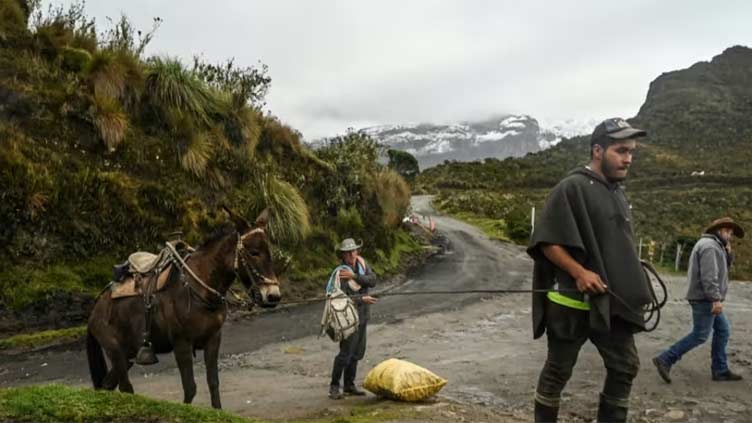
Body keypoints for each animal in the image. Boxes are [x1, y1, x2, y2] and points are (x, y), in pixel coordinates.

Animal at [85, 207, 280, 410]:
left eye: (270, 253)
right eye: (254, 252)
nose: (273, 295)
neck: (199, 288)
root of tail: (95, 309)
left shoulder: (213, 339)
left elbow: (213, 383)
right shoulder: (182, 344)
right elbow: (190, 388)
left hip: (127, 354)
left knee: (107, 385)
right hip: (114, 350)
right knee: (125, 387)